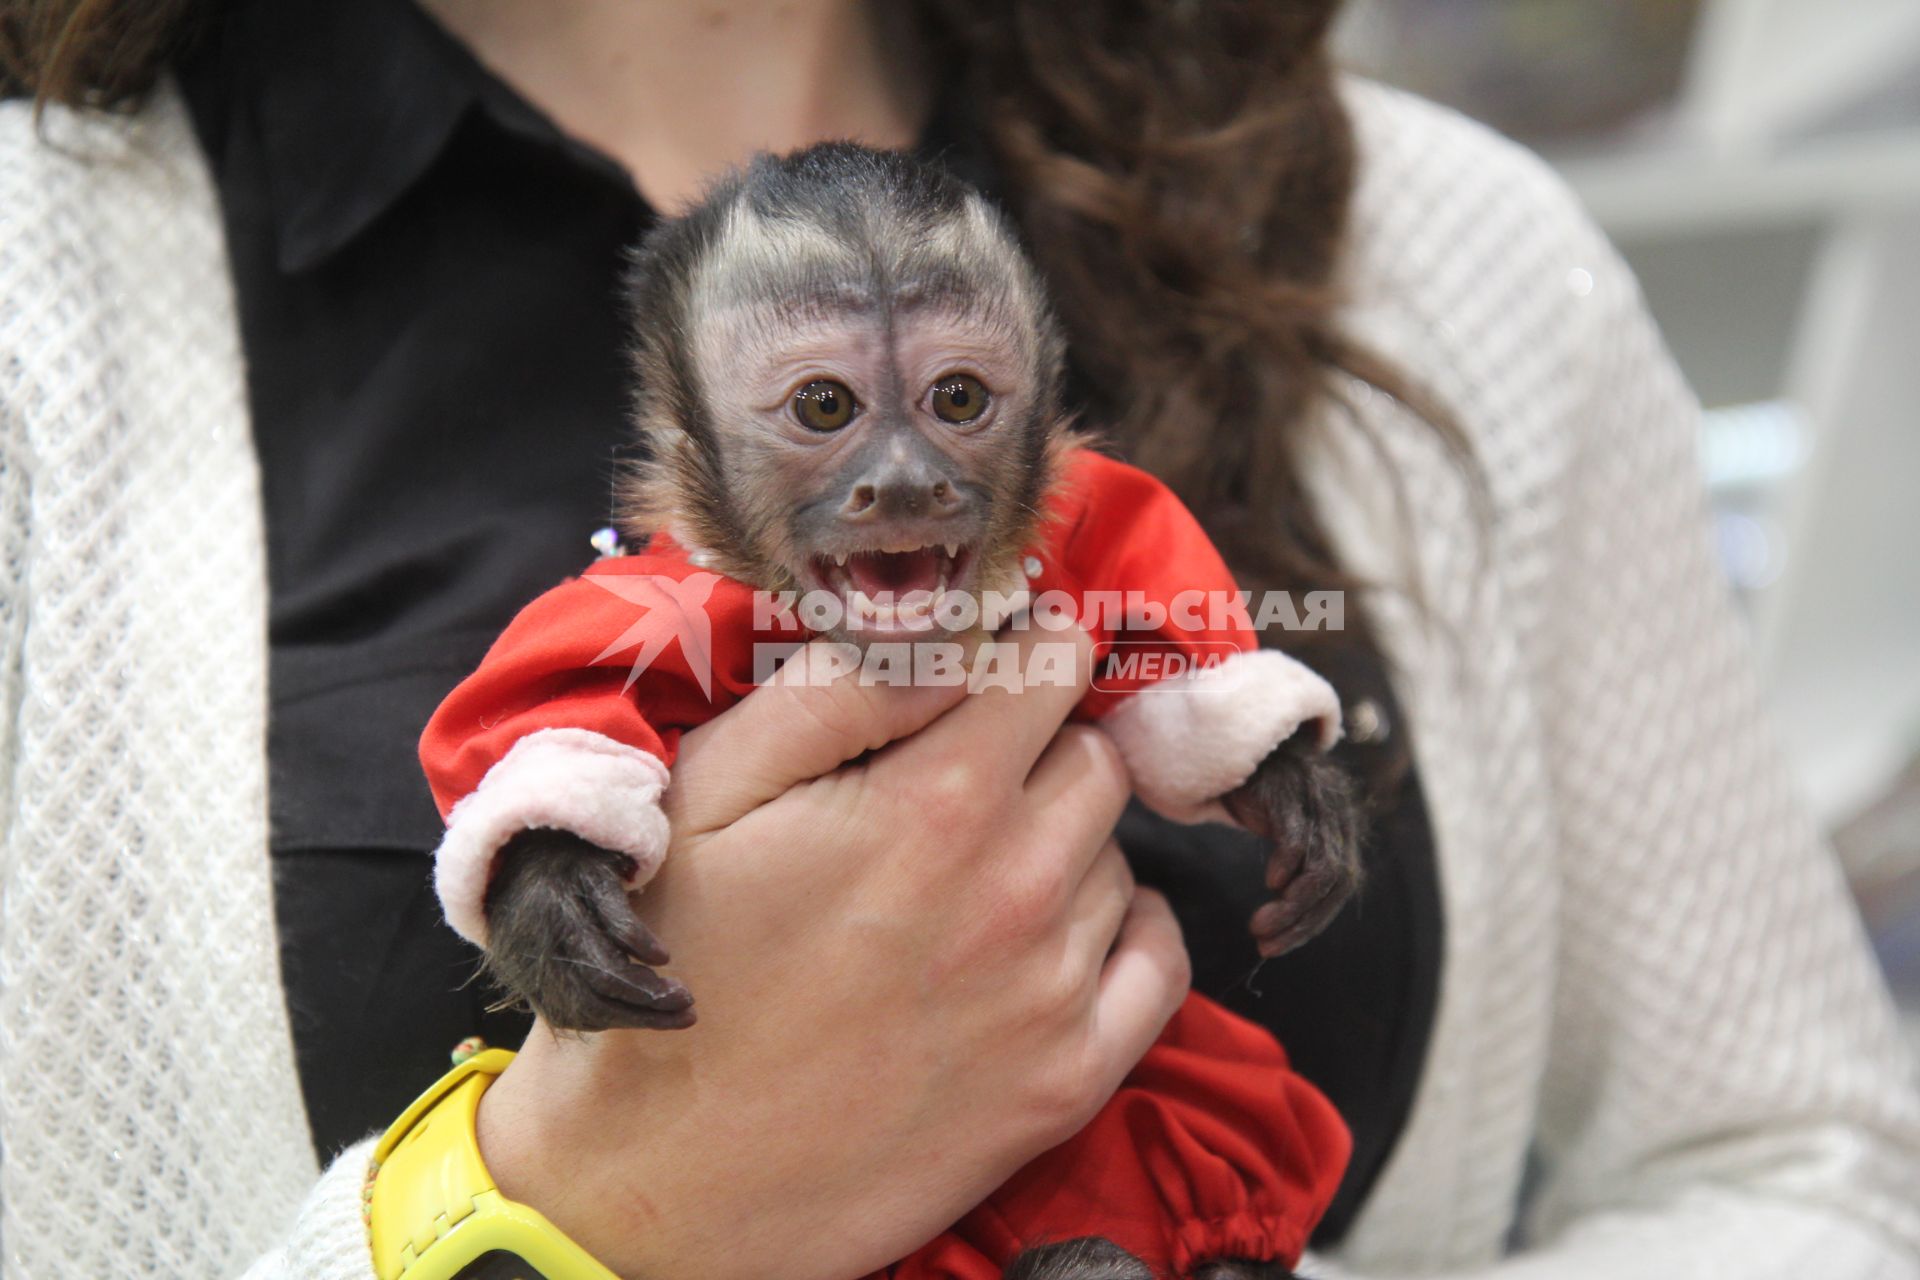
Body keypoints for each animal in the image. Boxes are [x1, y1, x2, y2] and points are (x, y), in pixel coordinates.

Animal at [474, 142, 1359, 1280]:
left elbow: (1163, 643)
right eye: (824, 406)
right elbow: (547, 700)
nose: (904, 484)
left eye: (957, 397)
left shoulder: (1083, 540)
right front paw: (546, 876)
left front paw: (1284, 777)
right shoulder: (666, 602)